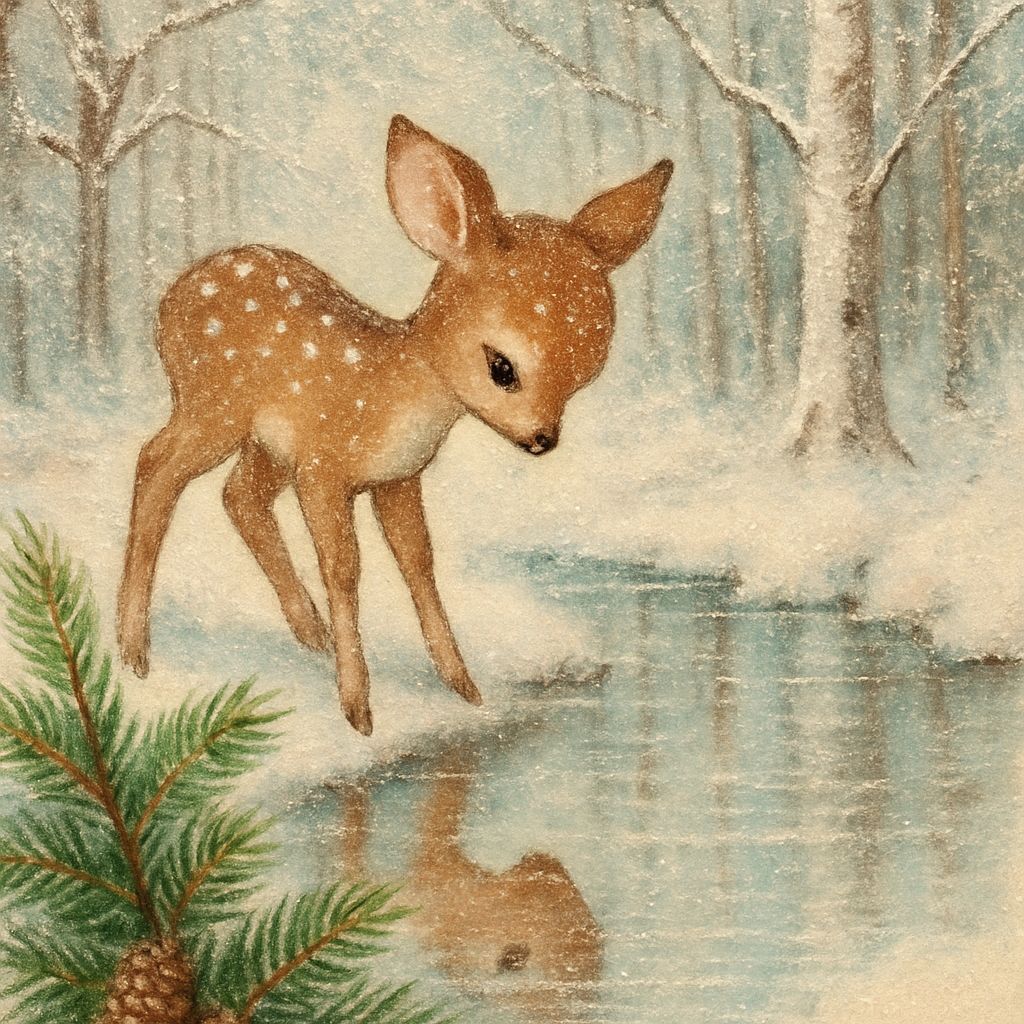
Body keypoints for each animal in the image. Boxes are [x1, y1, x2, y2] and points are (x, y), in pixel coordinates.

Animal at [117, 114, 673, 736]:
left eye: (589, 374)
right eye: (502, 367)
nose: (542, 441)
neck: (391, 398)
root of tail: (170, 297)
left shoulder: (397, 478)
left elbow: (419, 562)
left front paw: (462, 684)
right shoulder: (324, 467)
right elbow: (346, 569)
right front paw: (358, 708)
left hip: (265, 438)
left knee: (238, 495)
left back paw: (308, 631)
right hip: (213, 404)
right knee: (156, 465)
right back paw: (133, 650)